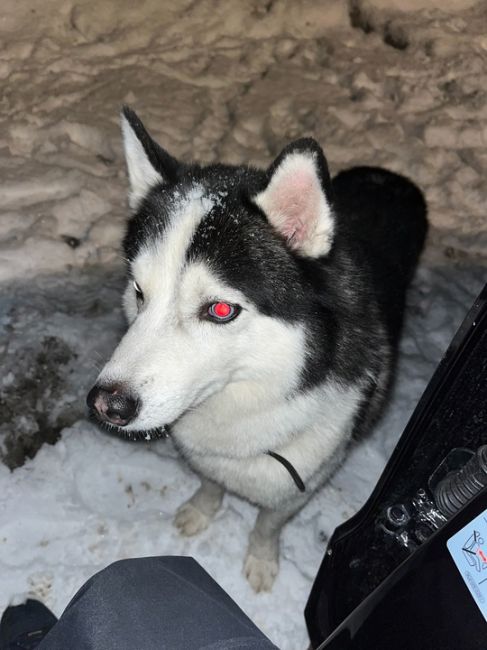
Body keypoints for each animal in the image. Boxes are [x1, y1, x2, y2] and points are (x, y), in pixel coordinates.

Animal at [86, 109, 428, 588]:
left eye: (221, 309)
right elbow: (210, 484)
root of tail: (386, 175)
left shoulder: (298, 484)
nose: (106, 404)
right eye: (138, 292)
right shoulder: (208, 459)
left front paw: (262, 560)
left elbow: (268, 523)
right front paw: (201, 510)